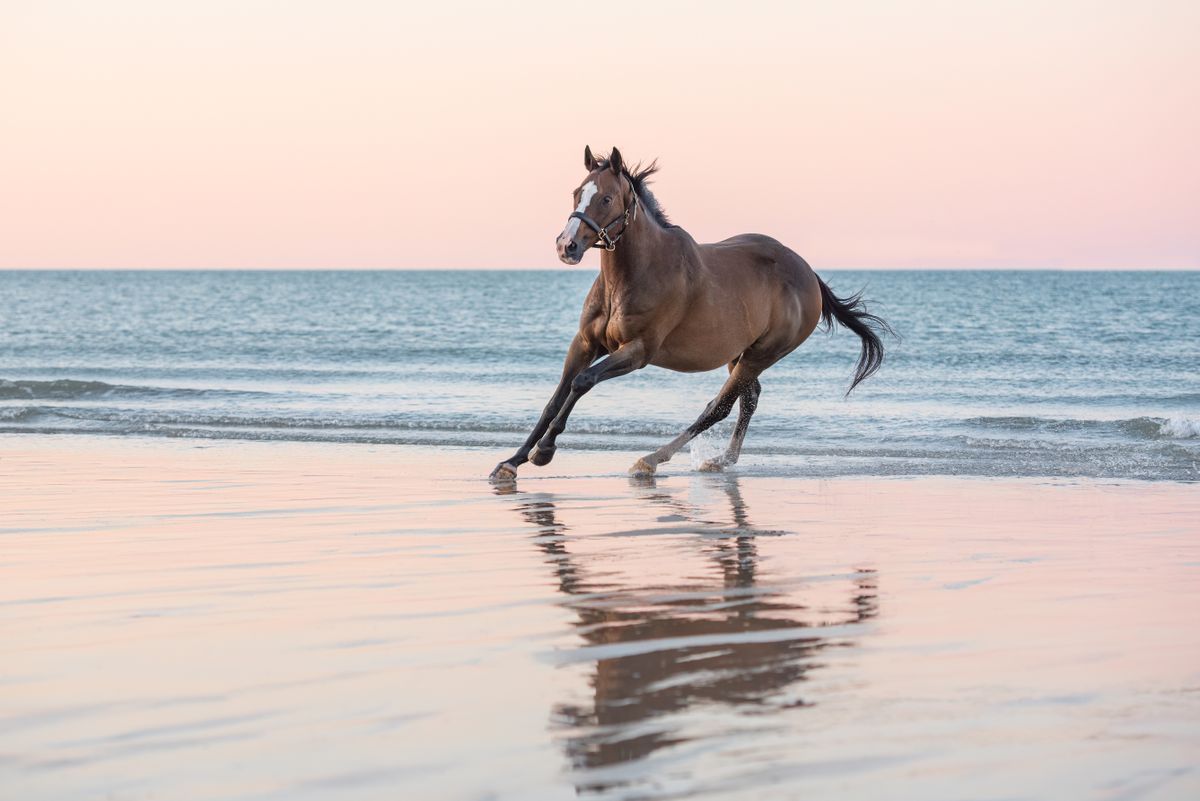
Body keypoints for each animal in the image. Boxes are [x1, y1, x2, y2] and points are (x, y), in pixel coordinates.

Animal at [487, 145, 892, 482]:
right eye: (576, 193)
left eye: (605, 197)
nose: (566, 246)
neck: (635, 274)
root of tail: (808, 274)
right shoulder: (585, 343)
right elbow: (554, 399)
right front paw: (511, 462)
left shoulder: (638, 351)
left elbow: (581, 383)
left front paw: (544, 452)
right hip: (740, 354)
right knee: (749, 398)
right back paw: (722, 460)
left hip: (763, 354)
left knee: (719, 407)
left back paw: (651, 459)